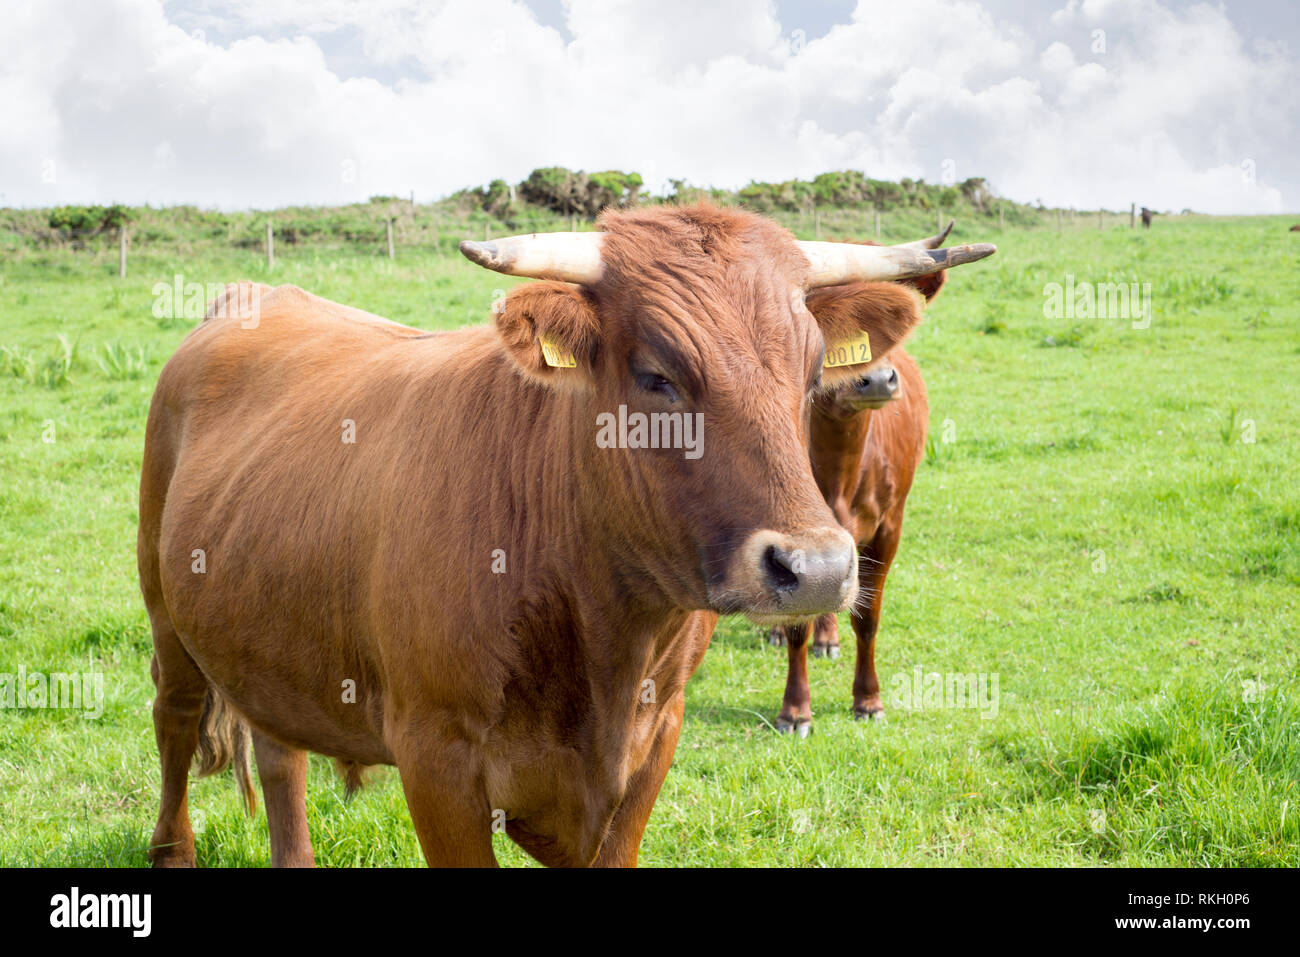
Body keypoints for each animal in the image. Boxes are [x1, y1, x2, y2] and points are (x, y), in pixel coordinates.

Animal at [768, 224, 954, 735]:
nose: (876, 380)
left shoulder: (889, 528)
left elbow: (868, 615)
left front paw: (868, 699)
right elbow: (797, 621)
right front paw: (795, 709)